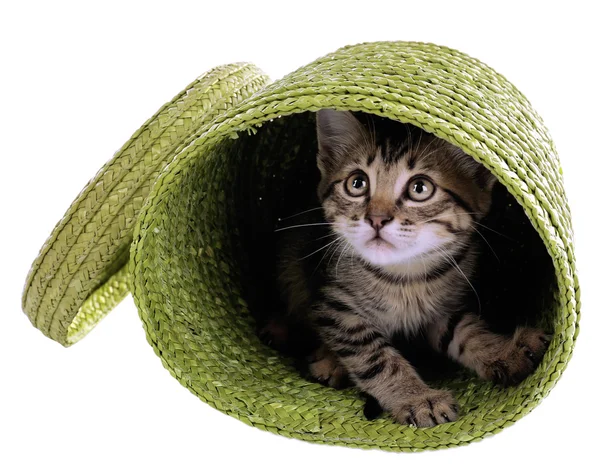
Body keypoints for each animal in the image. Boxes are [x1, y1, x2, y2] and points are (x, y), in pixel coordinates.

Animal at [262, 110, 548, 428]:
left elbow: (465, 331)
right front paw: (418, 398)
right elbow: (376, 358)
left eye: (420, 188)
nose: (376, 219)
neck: (405, 275)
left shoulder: (441, 307)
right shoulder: (337, 307)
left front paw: (503, 350)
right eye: (357, 183)